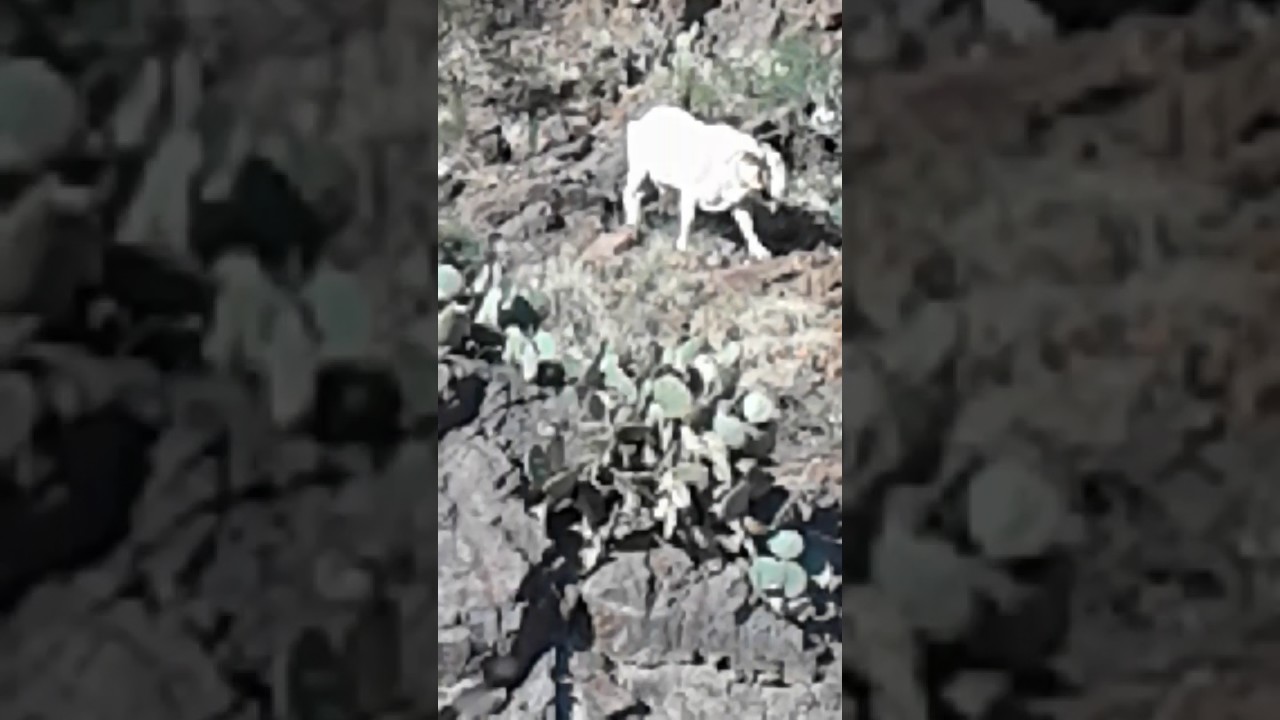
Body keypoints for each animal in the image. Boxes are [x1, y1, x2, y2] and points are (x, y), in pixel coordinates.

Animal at [622, 105, 786, 260]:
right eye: (767, 170)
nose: (781, 192)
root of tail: (640, 121)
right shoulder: (689, 194)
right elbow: (688, 219)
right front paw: (682, 247)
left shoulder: (739, 203)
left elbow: (747, 226)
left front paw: (761, 253)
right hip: (639, 168)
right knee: (630, 192)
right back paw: (631, 225)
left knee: (644, 195)